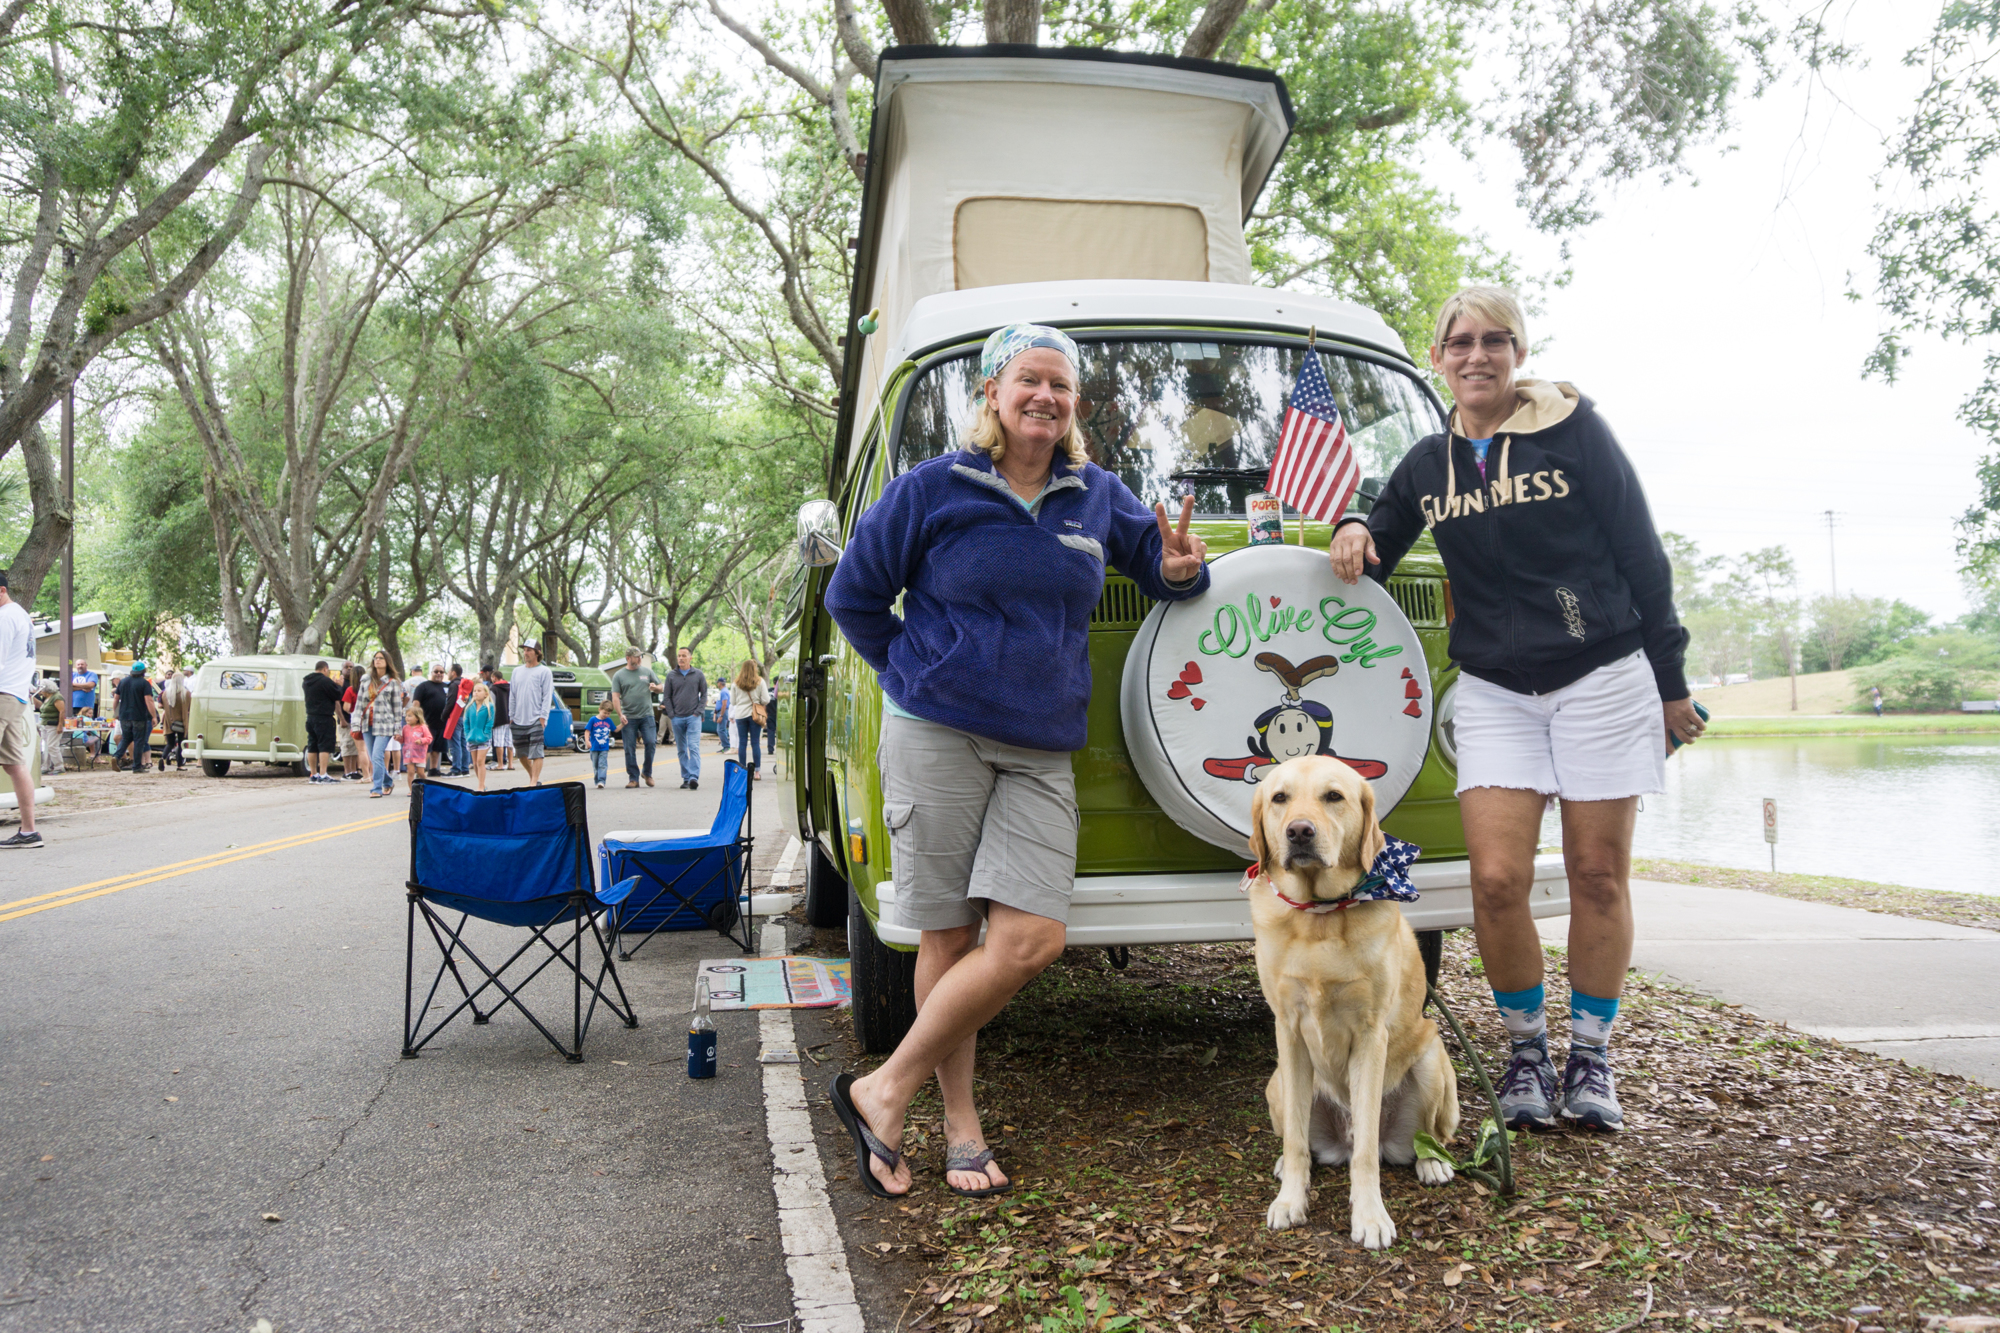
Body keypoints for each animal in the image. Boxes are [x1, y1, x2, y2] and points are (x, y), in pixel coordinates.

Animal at [1240, 756, 1464, 1248]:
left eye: (1333, 796)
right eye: (1280, 798)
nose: (1299, 831)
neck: (1319, 916)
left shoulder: (1369, 1034)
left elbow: (1365, 1156)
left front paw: (1370, 1216)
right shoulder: (1288, 1030)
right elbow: (1296, 1142)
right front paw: (1291, 1199)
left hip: (1431, 1060)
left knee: (1418, 1138)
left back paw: (1432, 1162)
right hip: (1278, 1082)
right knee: (1303, 1140)